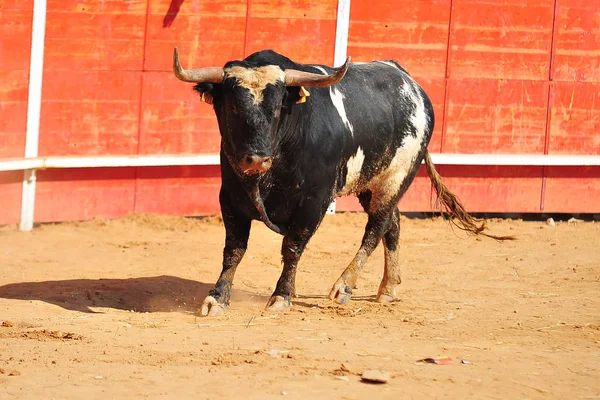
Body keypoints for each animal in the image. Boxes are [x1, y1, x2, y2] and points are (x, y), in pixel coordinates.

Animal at [173, 47, 510, 316]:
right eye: (232, 106)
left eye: (278, 107)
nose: (256, 159)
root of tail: (409, 82)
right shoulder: (230, 198)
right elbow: (233, 250)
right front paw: (217, 298)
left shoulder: (315, 202)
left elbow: (292, 248)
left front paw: (282, 296)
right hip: (373, 182)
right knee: (393, 225)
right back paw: (387, 288)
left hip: (398, 176)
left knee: (376, 228)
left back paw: (344, 286)